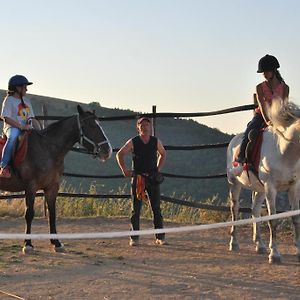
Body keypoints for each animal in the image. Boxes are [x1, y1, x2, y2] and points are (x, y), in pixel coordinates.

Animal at [0, 105, 112, 253]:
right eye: (91, 126)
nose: (107, 150)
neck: (47, 149)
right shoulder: (31, 187)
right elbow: (29, 214)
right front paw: (28, 244)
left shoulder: (52, 187)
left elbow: (52, 214)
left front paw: (56, 242)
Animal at [227, 99, 300, 264]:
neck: (284, 151)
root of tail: (233, 141)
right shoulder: (270, 188)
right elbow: (272, 220)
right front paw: (275, 254)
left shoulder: (293, 187)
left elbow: (295, 218)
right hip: (234, 183)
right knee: (235, 209)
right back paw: (234, 243)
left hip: (260, 189)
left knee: (255, 211)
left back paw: (260, 245)